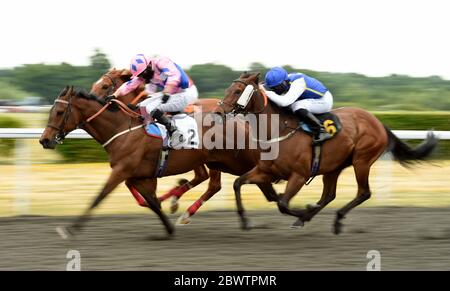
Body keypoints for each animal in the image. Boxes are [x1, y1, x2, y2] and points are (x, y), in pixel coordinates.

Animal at [216, 73, 438, 235]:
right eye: (227, 89)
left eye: (238, 91)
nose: (218, 113)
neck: (279, 130)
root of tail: (378, 122)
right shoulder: (266, 171)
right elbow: (238, 183)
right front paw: (245, 221)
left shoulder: (299, 175)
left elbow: (283, 204)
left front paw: (302, 210)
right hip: (333, 166)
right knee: (329, 195)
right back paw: (309, 217)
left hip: (362, 161)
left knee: (363, 193)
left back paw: (333, 219)